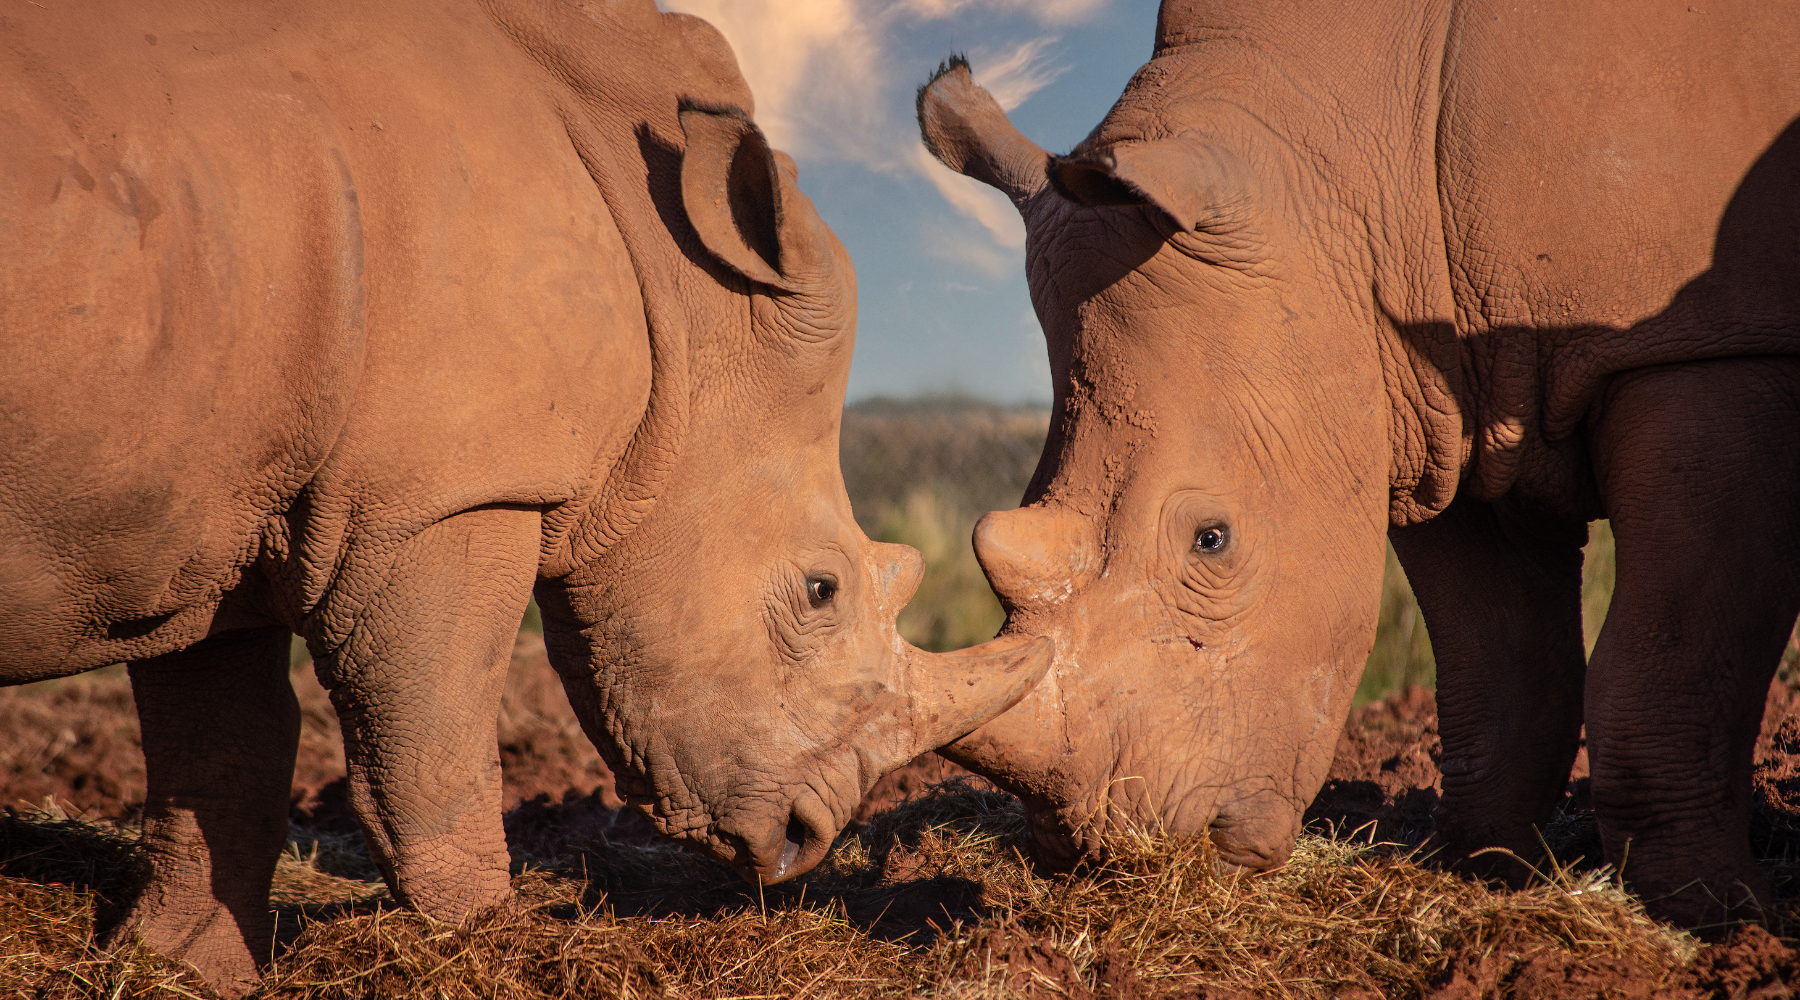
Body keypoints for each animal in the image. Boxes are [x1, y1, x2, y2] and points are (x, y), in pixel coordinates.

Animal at [0, 0, 1051, 985]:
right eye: (821, 589)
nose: (804, 839)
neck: (680, 298)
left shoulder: (213, 494)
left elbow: (224, 747)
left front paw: (176, 969)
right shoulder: (444, 495)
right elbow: (431, 754)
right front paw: (489, 945)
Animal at [921, 0, 1800, 928]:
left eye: (1212, 539)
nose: (1104, 858)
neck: (1337, 175)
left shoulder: (1712, 346)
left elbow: (1673, 654)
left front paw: (1709, 909)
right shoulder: (1438, 400)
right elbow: (1501, 666)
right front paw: (1485, 873)